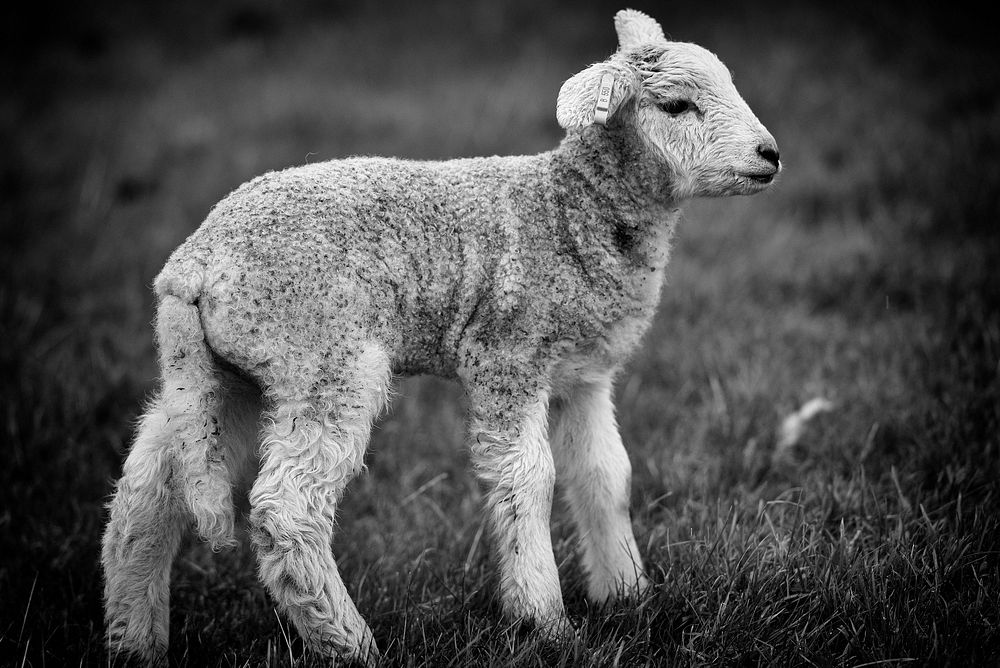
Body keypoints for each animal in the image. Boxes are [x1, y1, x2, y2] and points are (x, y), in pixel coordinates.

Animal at [105, 9, 784, 664]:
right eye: (677, 107)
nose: (771, 153)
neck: (571, 211)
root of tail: (193, 264)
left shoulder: (583, 373)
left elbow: (604, 475)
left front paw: (627, 595)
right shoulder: (506, 357)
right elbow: (528, 479)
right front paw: (545, 622)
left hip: (223, 371)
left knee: (148, 490)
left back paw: (135, 640)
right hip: (323, 356)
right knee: (285, 509)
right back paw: (351, 644)